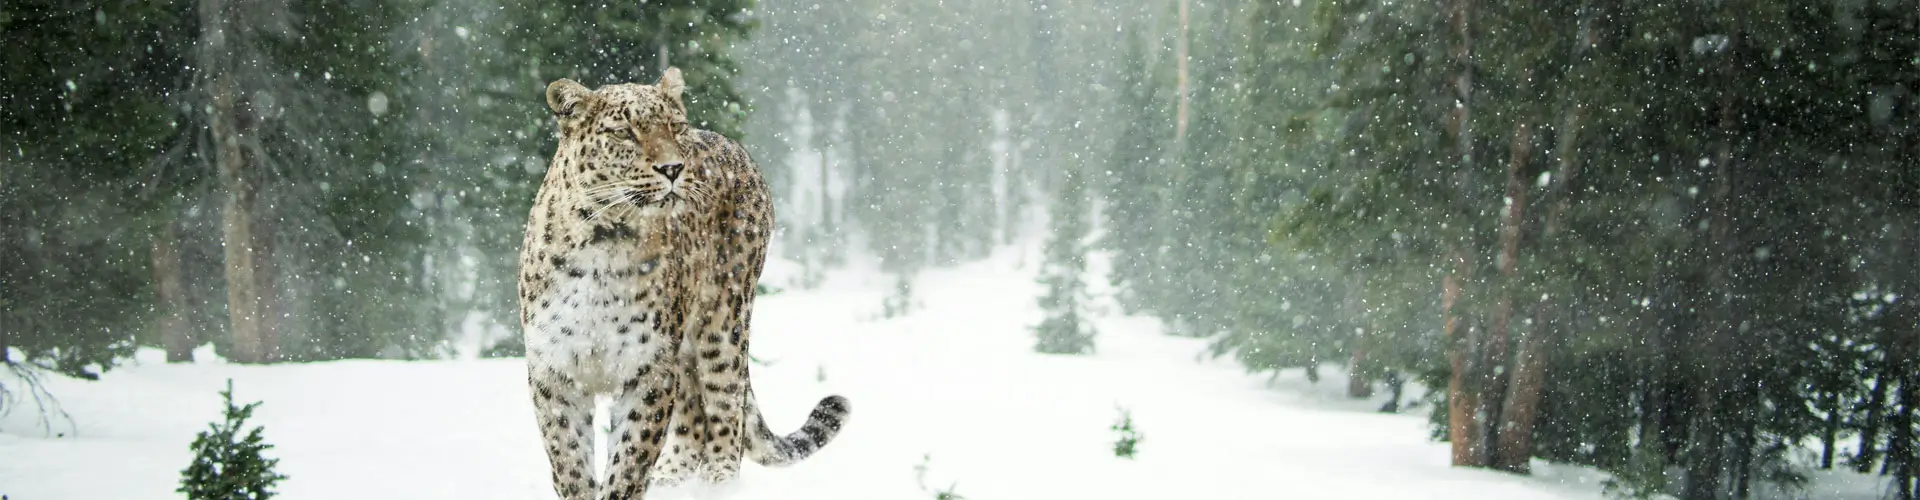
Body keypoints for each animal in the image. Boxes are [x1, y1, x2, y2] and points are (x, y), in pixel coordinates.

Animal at [517, 67, 850, 500]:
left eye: (675, 127)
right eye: (624, 133)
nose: (673, 168)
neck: (604, 242)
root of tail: (734, 146)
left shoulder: (649, 371)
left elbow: (628, 463)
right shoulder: (555, 374)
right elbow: (570, 464)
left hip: (724, 323)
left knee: (725, 410)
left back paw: (717, 486)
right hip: (687, 351)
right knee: (693, 419)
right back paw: (670, 480)